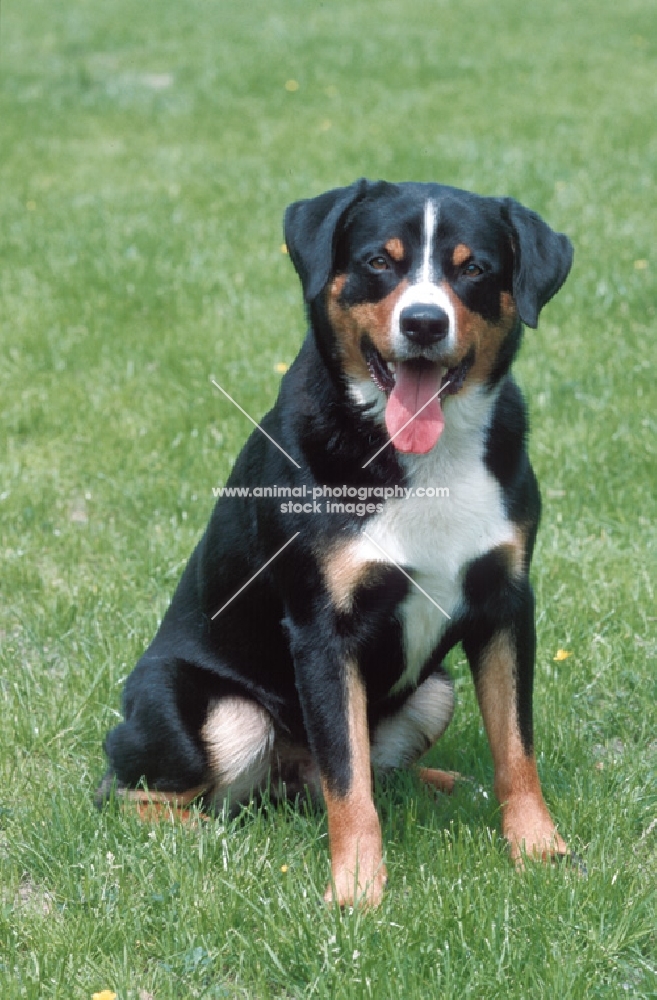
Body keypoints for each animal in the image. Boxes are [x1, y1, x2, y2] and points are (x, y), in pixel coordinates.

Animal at [95, 178, 572, 908]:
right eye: (379, 261)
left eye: (473, 268)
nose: (424, 323)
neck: (424, 459)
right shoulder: (323, 626)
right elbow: (348, 781)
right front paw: (357, 894)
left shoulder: (505, 603)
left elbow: (514, 747)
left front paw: (537, 849)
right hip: (221, 715)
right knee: (142, 794)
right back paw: (215, 837)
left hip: (432, 690)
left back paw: (442, 786)